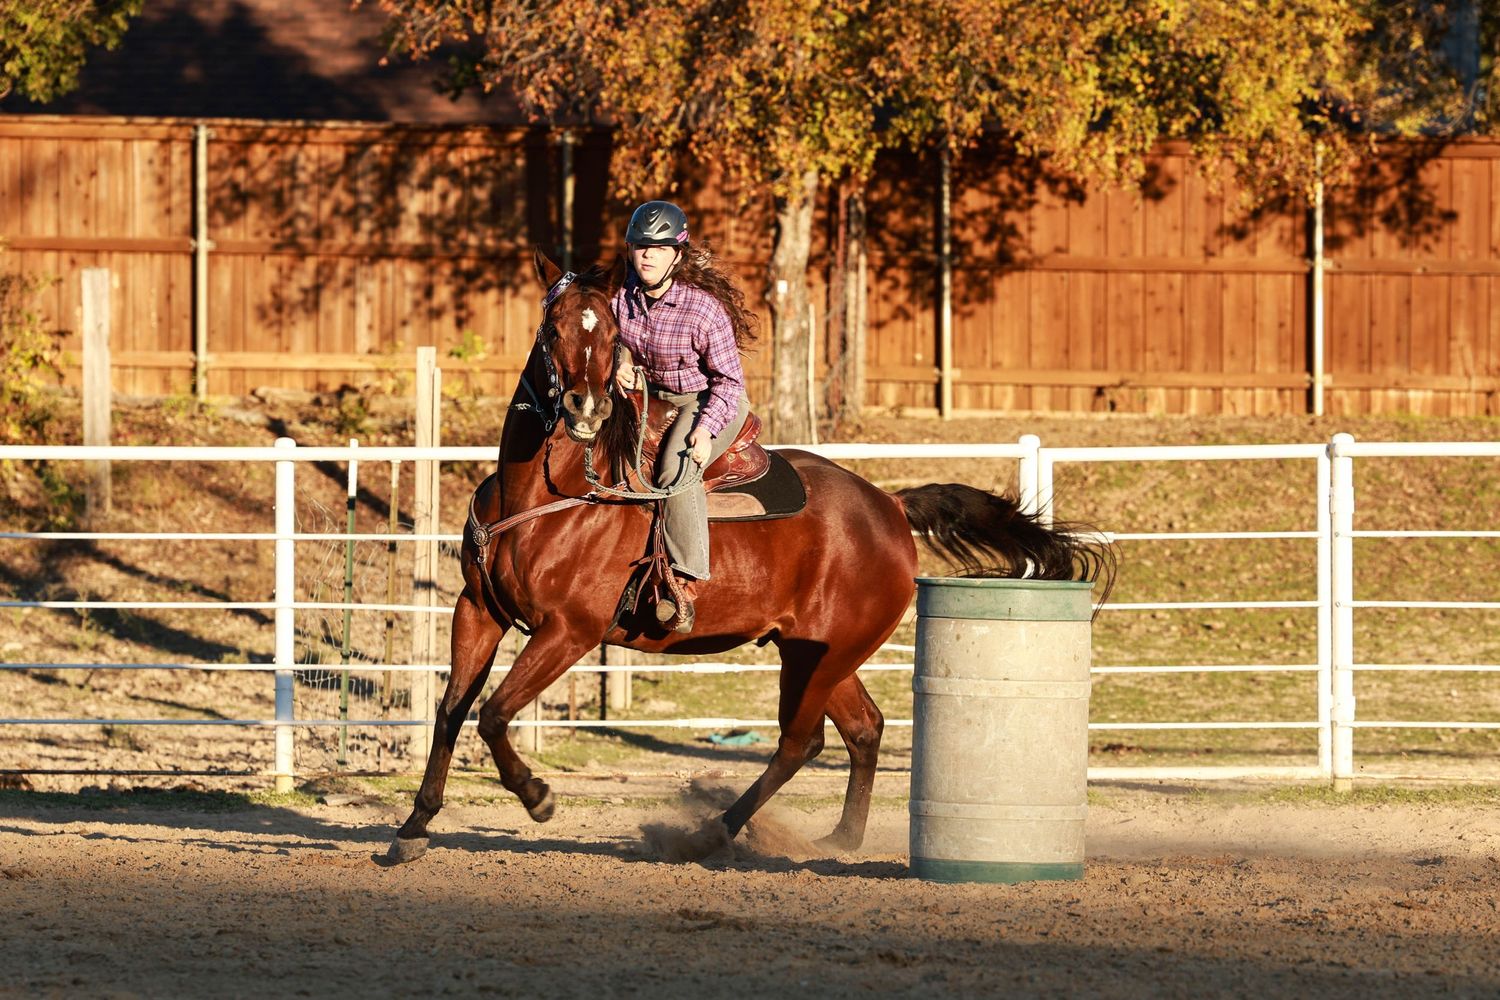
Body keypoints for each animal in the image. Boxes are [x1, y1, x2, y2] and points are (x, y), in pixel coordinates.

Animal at [387, 249, 1112, 864]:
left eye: (613, 334)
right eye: (552, 326)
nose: (585, 407)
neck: (551, 492)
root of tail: (889, 506)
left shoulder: (569, 631)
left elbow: (493, 713)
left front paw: (537, 798)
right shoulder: (477, 610)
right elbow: (451, 711)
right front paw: (413, 827)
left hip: (829, 651)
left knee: (800, 741)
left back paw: (713, 833)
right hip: (816, 651)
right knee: (864, 728)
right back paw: (839, 839)